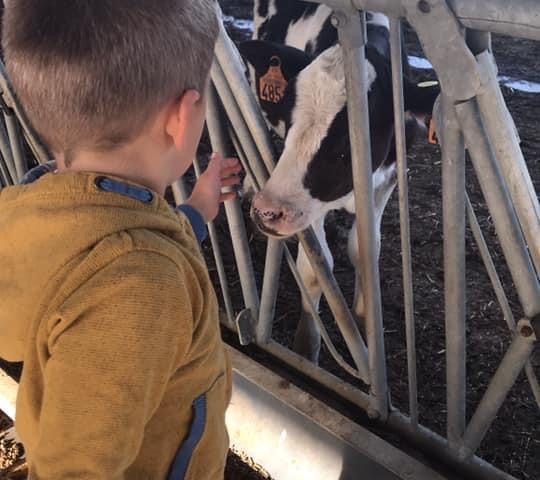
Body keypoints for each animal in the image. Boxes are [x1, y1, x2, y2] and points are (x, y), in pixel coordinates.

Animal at [240, 0, 438, 360]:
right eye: (290, 124)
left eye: (348, 146)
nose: (266, 211)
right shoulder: (310, 206)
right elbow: (317, 268)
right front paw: (308, 346)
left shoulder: (385, 181)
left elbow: (365, 249)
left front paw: (363, 320)